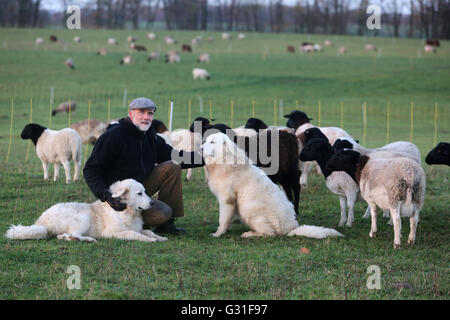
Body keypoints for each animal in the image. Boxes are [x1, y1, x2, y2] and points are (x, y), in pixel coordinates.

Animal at [5, 178, 167, 242]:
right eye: (139, 193)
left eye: (145, 191)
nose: (152, 203)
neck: (127, 211)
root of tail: (41, 223)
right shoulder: (111, 233)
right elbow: (133, 234)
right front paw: (150, 240)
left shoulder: (139, 227)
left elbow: (147, 231)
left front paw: (159, 237)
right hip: (83, 218)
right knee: (73, 234)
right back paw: (88, 239)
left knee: (64, 236)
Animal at [199, 131, 342, 239]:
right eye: (206, 141)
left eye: (212, 142)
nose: (200, 148)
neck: (224, 160)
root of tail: (291, 227)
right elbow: (226, 219)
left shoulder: (227, 200)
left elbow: (223, 219)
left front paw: (217, 234)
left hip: (248, 208)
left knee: (269, 233)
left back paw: (250, 234)